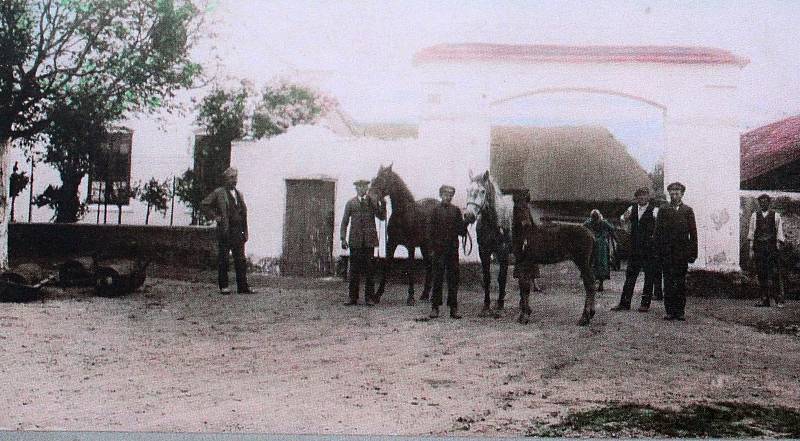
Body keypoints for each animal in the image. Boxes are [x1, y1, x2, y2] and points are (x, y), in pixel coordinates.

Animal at [368, 163, 438, 304]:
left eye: (382, 179)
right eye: (373, 179)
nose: (371, 198)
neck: (403, 213)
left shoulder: (410, 246)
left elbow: (410, 268)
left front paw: (410, 297)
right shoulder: (391, 243)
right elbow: (386, 266)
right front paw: (377, 295)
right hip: (424, 246)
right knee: (429, 266)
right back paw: (425, 295)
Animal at [510, 191, 596, 324]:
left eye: (526, 207)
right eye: (517, 208)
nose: (526, 223)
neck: (526, 235)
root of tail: (591, 234)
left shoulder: (527, 262)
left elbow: (525, 288)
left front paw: (525, 316)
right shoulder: (521, 263)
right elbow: (522, 287)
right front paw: (524, 314)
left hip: (582, 262)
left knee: (589, 284)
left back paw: (584, 318)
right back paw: (590, 314)